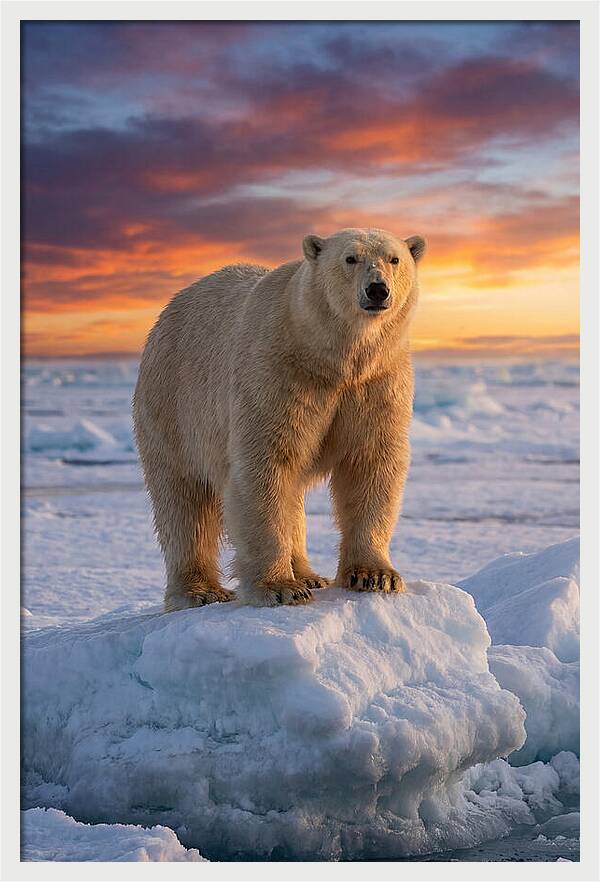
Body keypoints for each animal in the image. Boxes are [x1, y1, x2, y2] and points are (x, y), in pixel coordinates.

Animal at [133, 227, 426, 610]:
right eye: (350, 258)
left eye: (394, 259)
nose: (377, 289)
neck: (330, 357)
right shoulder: (277, 374)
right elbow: (264, 466)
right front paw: (280, 587)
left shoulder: (378, 382)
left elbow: (371, 463)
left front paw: (375, 576)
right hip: (173, 404)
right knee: (184, 500)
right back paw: (200, 591)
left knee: (291, 495)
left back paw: (309, 574)